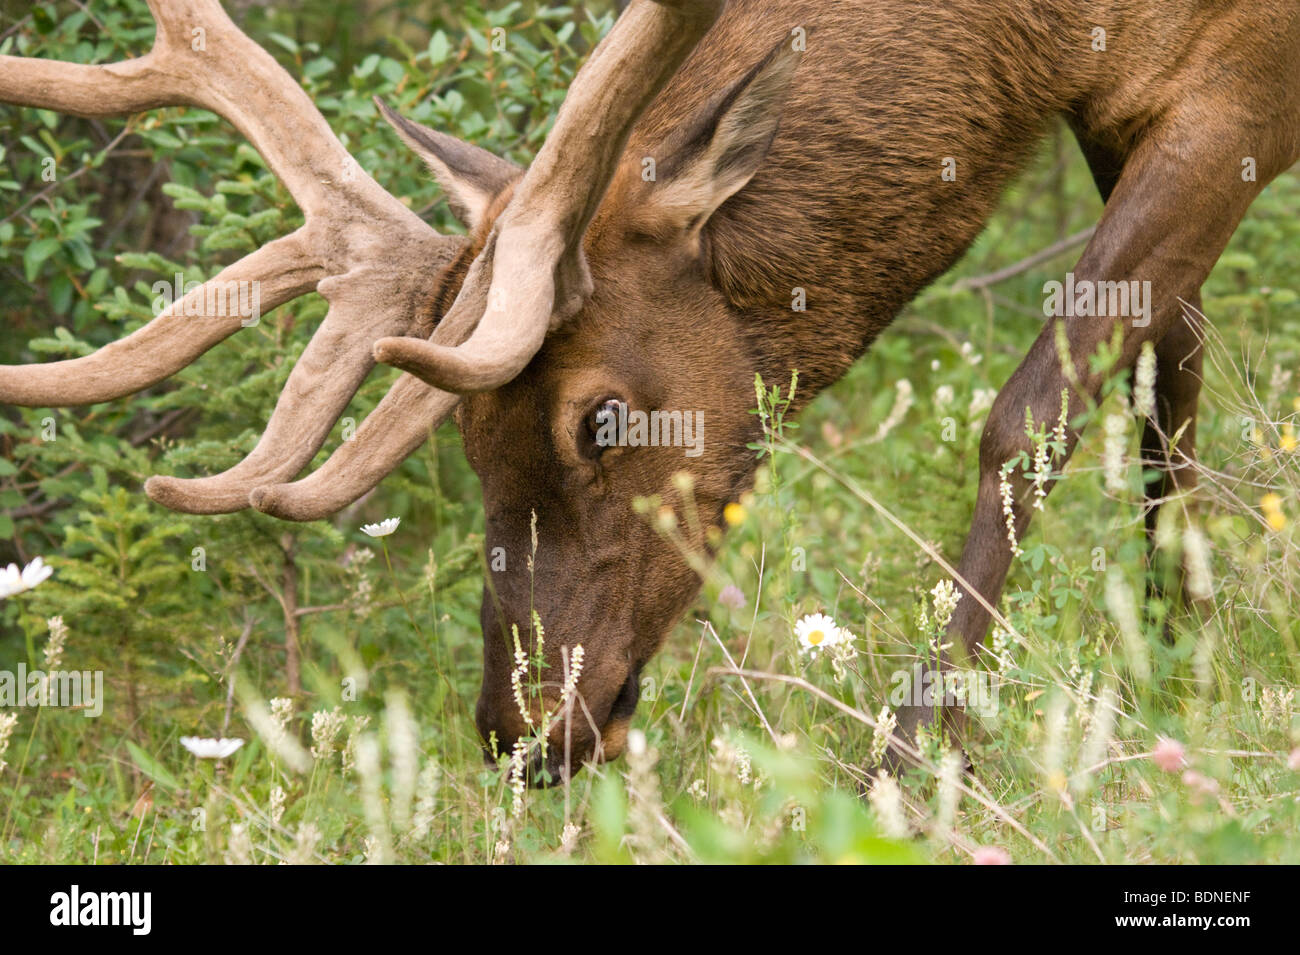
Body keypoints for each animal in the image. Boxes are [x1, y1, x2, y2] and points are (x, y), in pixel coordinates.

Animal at [2, 0, 1300, 784]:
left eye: (602, 416)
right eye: (466, 431)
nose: (522, 732)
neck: (1043, 35)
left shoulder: (1237, 73)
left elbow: (1028, 414)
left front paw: (913, 754)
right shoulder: (1124, 108)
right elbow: (1168, 373)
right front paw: (1176, 652)